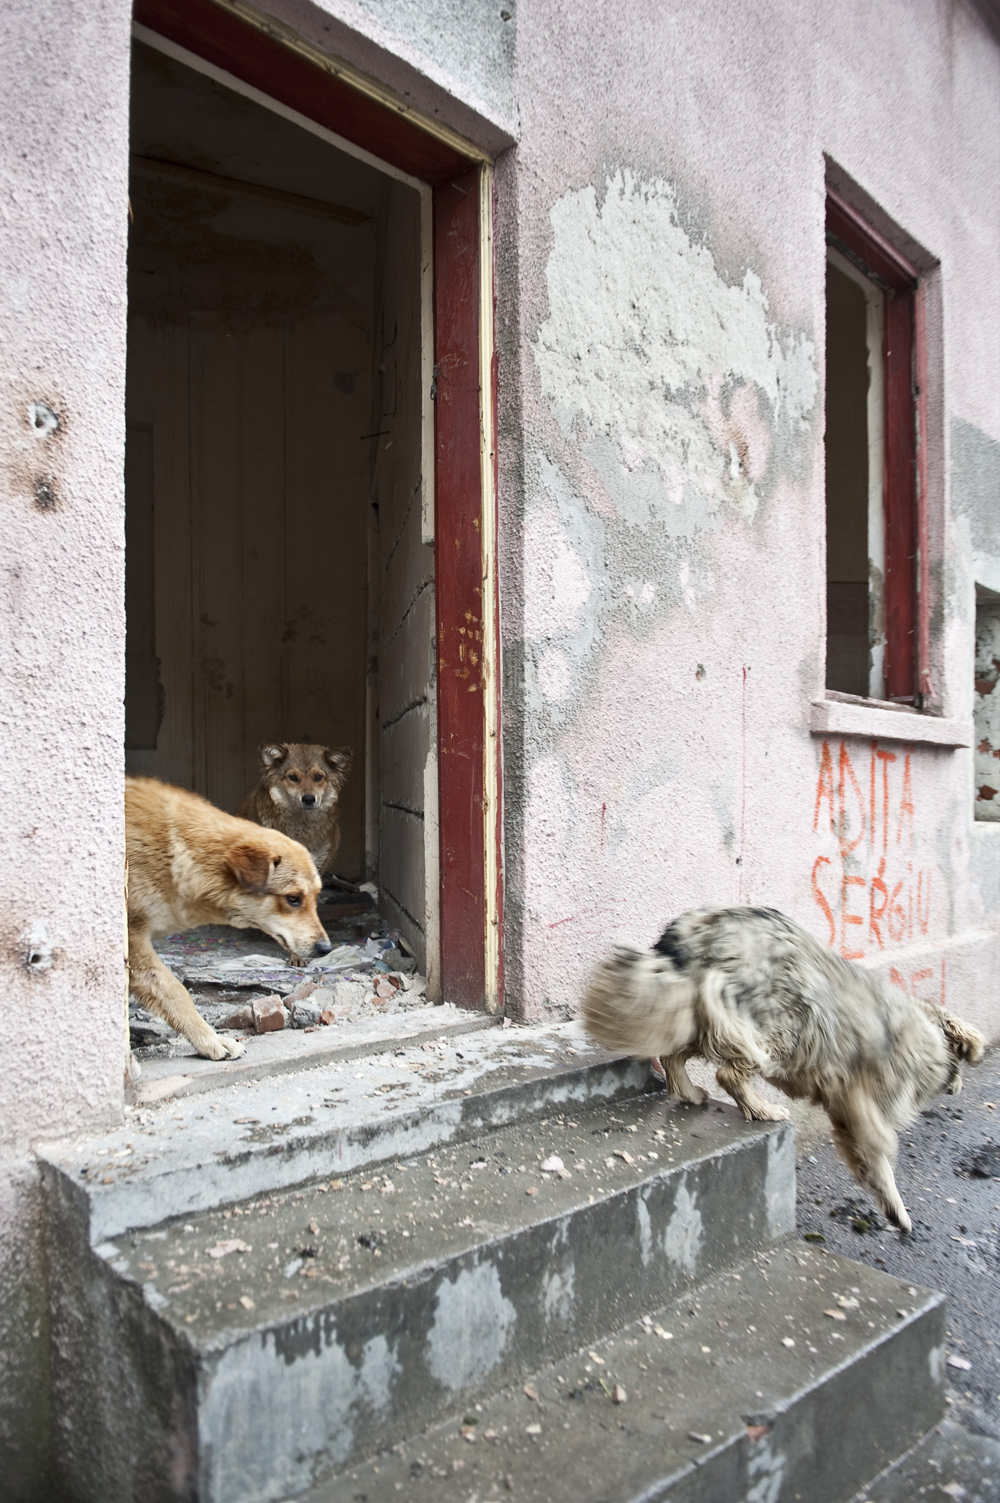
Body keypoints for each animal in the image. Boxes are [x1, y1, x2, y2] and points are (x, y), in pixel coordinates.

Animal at [124, 781, 330, 1064]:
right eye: (293, 899)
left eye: (316, 896)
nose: (326, 949)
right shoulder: (132, 939)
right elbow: (175, 992)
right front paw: (209, 1040)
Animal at [586, 901, 980, 1232]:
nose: (960, 1085)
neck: (919, 1034)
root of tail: (697, 928)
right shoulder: (857, 1095)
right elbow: (879, 1146)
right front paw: (895, 1205)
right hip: (783, 1024)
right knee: (727, 1072)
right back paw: (760, 1108)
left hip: (702, 1011)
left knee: (674, 1053)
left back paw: (689, 1092)